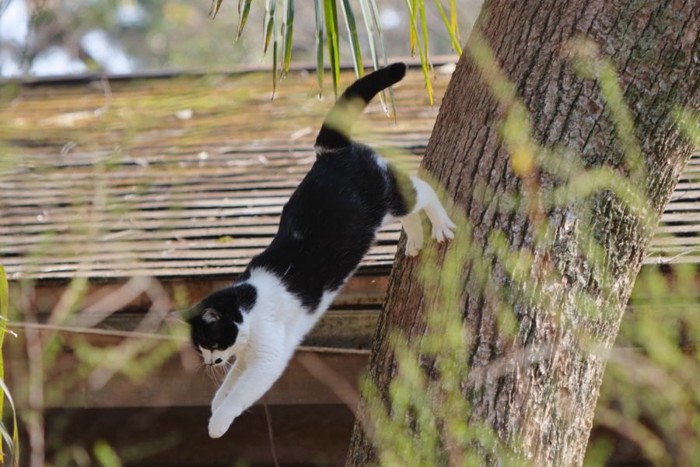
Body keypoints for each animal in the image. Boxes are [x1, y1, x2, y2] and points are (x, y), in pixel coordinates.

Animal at [189, 63, 456, 438]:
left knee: (423, 190)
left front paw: (219, 422)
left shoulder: (268, 358)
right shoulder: (246, 356)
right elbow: (231, 381)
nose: (209, 361)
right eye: (203, 348)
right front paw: (216, 403)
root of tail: (329, 151)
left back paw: (441, 224)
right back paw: (416, 240)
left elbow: (242, 391)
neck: (249, 300)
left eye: (211, 344)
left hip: (386, 197)